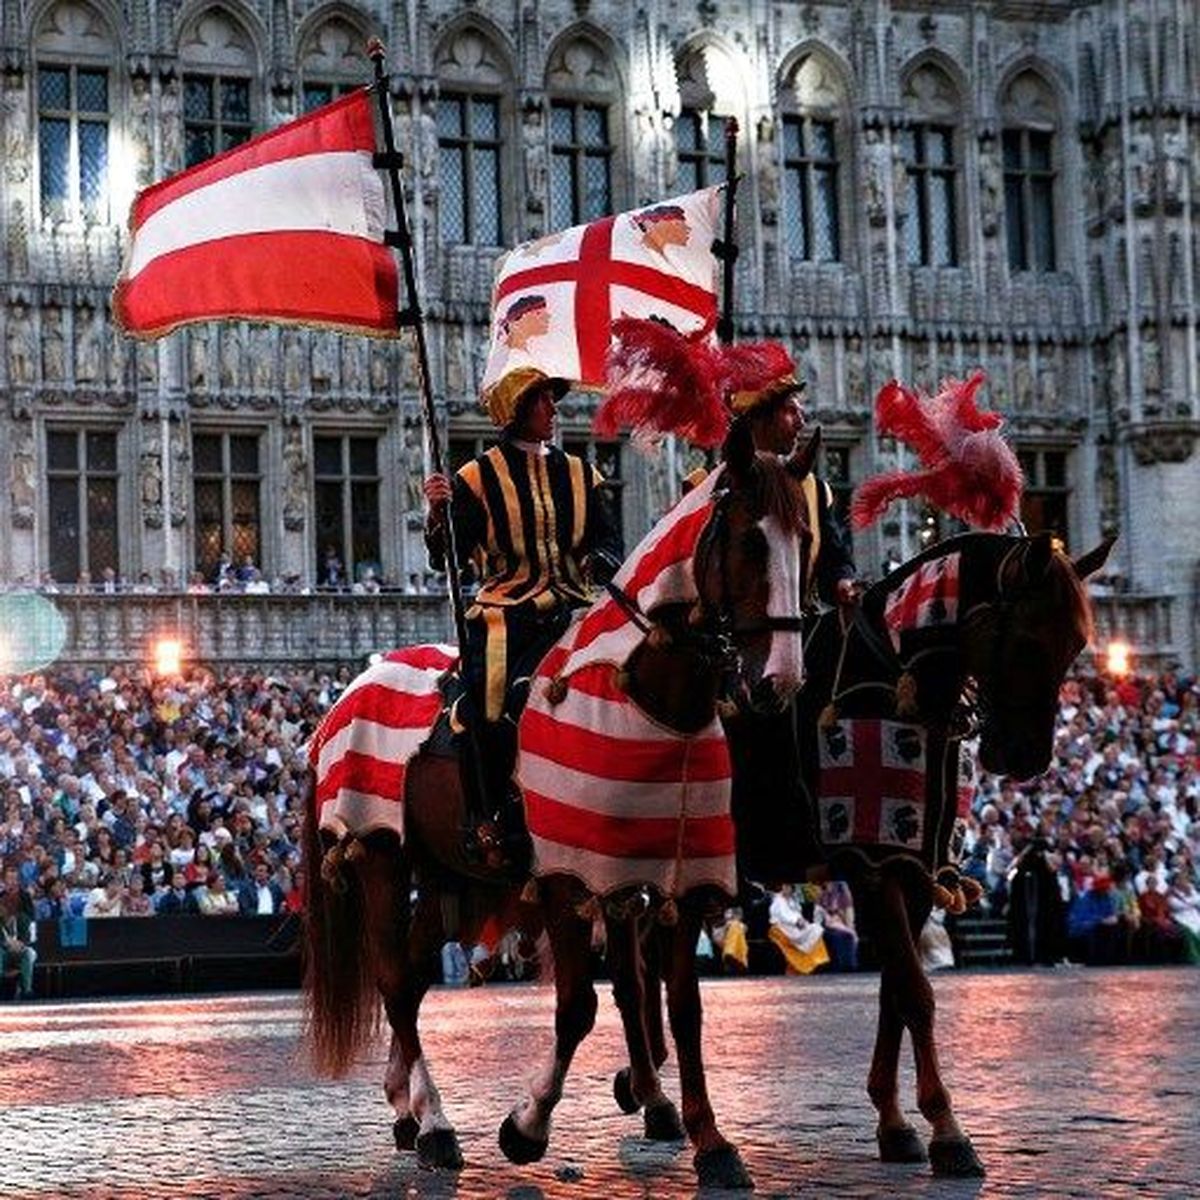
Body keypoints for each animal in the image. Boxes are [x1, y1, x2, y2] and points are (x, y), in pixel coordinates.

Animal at [302, 420, 816, 1180]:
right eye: (750, 540)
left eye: (804, 538)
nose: (778, 680)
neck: (645, 700)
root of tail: (348, 694)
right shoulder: (565, 878)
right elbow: (578, 1006)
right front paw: (526, 1125)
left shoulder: (670, 878)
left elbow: (675, 1004)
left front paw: (708, 1139)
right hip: (379, 857)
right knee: (395, 981)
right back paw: (436, 1126)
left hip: (449, 873)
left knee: (415, 981)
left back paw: (407, 1109)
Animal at [609, 530, 1113, 1176]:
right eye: (1026, 639)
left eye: (1075, 644)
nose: (1024, 757)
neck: (894, 689)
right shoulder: (873, 867)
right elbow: (915, 993)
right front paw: (947, 1130)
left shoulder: (913, 871)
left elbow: (893, 992)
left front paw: (895, 1123)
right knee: (644, 977)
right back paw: (681, 1115)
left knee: (649, 966)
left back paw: (650, 1090)